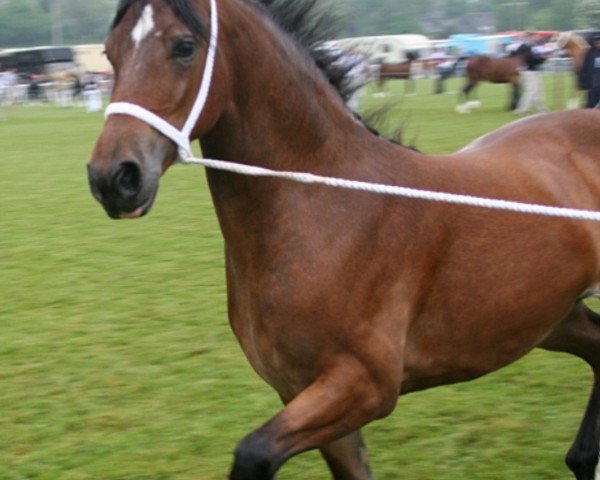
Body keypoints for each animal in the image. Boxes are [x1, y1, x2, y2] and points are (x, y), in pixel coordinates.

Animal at [88, 0, 600, 480]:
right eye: (110, 53)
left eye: (184, 46)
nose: (114, 178)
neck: (331, 205)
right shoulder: (301, 391)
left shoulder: (365, 385)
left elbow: (252, 454)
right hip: (549, 318)